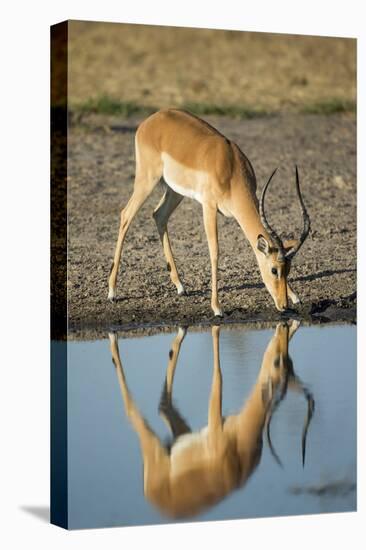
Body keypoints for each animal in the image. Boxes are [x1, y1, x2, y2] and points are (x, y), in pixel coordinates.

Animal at [107, 109, 310, 314]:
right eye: (274, 270)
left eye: (288, 269)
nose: (283, 305)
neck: (231, 168)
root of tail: (152, 119)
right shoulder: (209, 207)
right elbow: (215, 252)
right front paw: (217, 307)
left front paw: (295, 296)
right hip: (147, 180)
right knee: (126, 215)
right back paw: (112, 292)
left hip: (175, 191)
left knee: (159, 215)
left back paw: (180, 286)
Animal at [108, 322, 312, 520]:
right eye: (278, 362)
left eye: (290, 362)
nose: (282, 332)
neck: (241, 444)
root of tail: (153, 498)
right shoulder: (215, 425)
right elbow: (219, 376)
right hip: (153, 447)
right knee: (131, 411)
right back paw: (113, 336)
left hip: (178, 435)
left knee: (163, 406)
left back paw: (181, 329)